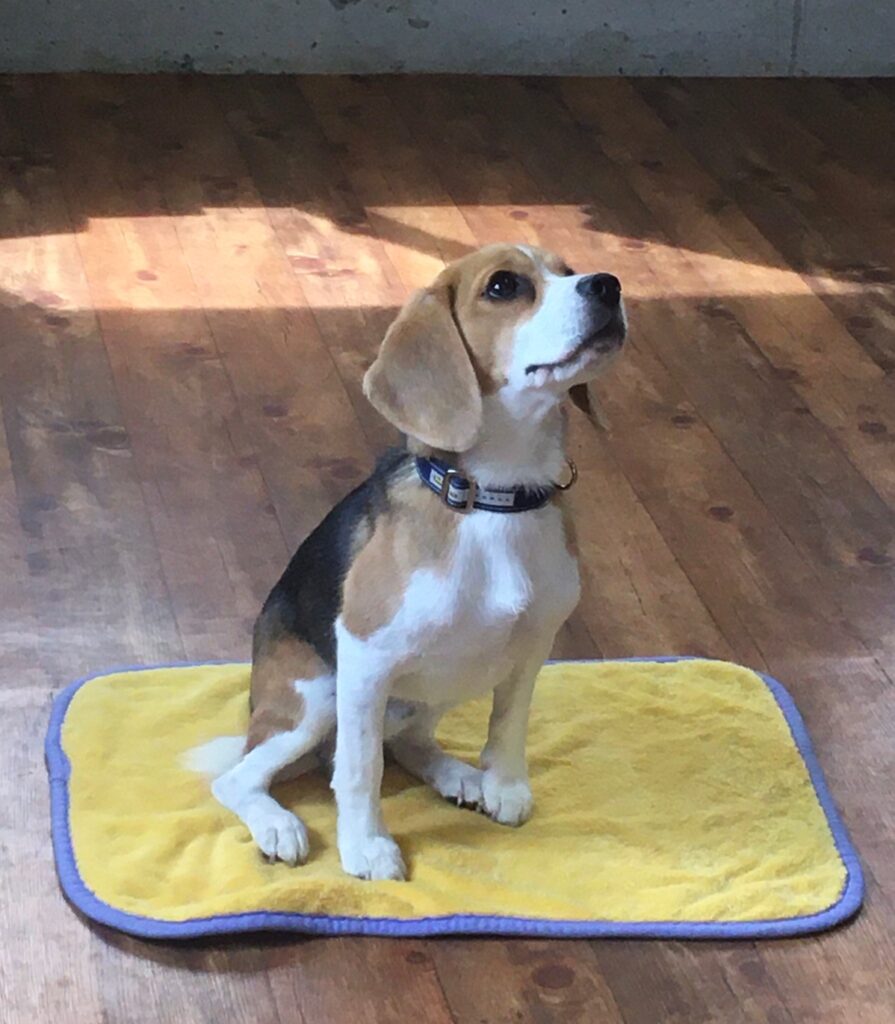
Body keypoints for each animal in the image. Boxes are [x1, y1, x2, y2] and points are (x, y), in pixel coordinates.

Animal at [189, 243, 626, 881]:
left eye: (568, 271)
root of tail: (256, 708)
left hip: (447, 682)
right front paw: (367, 846)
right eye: (503, 286)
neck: (493, 498)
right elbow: (359, 769)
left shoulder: (532, 646)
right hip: (317, 698)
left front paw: (506, 785)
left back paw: (460, 777)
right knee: (241, 777)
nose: (609, 286)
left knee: (410, 743)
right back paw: (277, 824)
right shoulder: (365, 657)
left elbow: (509, 723)